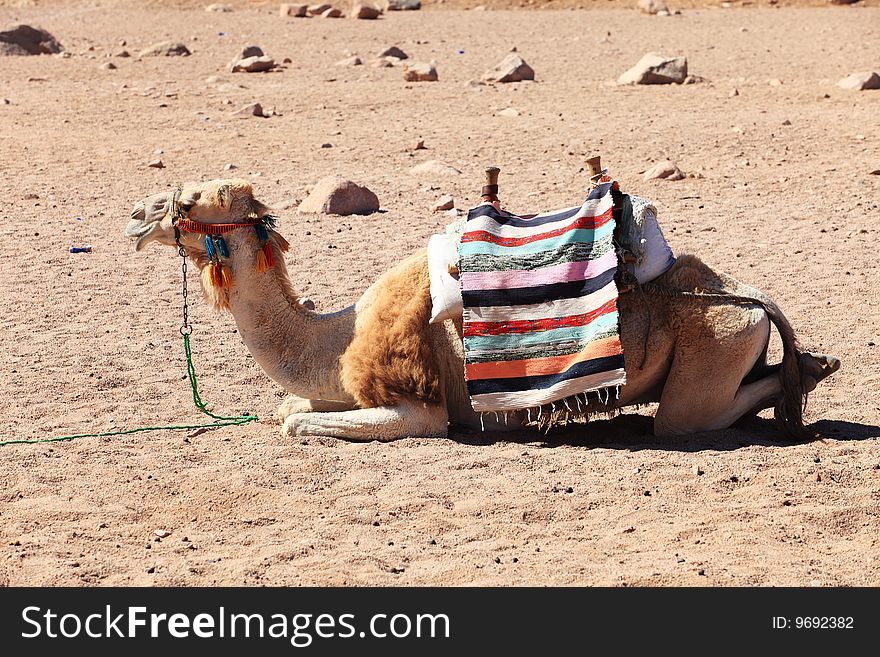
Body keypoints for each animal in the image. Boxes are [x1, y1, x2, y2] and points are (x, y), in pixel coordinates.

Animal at [124, 178, 840, 440]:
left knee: (689, 417)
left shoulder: (419, 407)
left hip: (705, 366)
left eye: (190, 202)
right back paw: (814, 367)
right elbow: (287, 408)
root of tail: (751, 299)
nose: (136, 215)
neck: (336, 336)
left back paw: (812, 374)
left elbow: (297, 423)